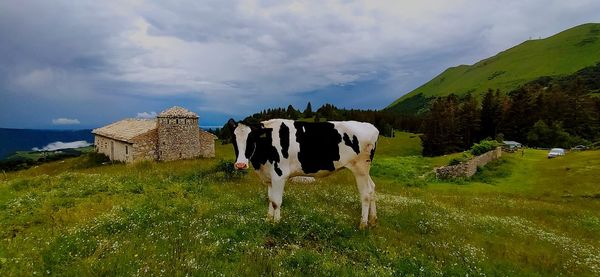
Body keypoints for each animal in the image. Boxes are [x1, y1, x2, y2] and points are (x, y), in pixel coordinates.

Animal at [227, 117, 378, 227]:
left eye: (251, 139)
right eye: (234, 140)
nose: (240, 164)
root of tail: (372, 127)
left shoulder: (279, 175)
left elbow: (276, 201)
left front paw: (276, 223)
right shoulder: (269, 177)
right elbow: (270, 199)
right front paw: (268, 219)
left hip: (360, 169)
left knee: (365, 194)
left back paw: (363, 224)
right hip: (365, 171)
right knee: (372, 189)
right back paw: (373, 220)